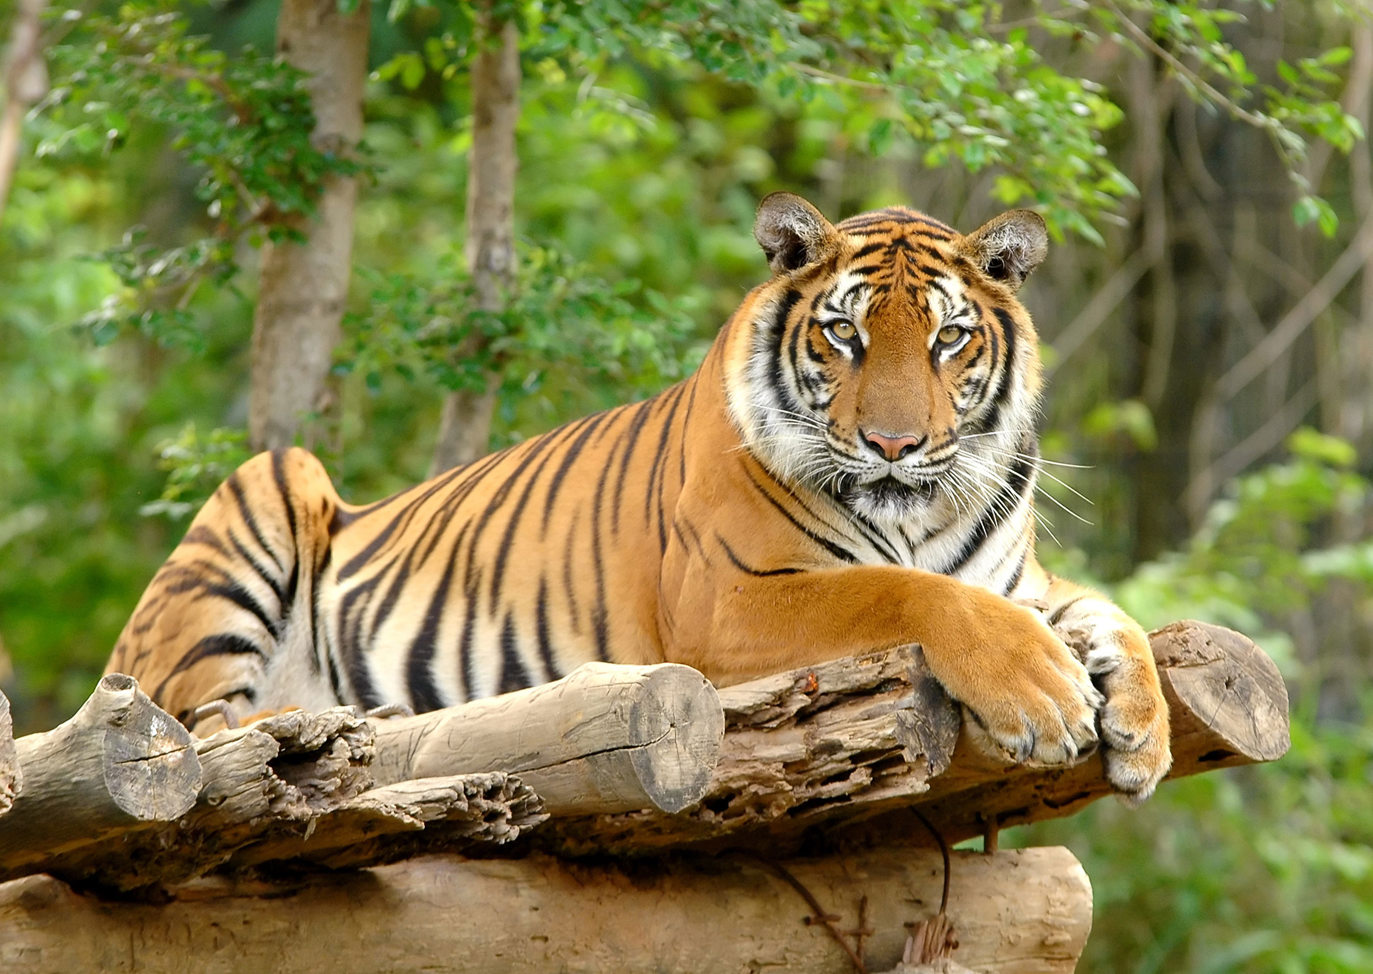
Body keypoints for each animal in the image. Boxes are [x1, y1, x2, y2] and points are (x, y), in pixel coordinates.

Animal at [106, 191, 1172, 803]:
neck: (919, 514)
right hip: (267, 493)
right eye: (845, 335)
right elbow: (904, 592)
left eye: (949, 339)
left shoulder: (1020, 582)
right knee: (200, 725)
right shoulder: (730, 603)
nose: (894, 445)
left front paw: (1143, 727)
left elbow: (1112, 613)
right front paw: (1044, 697)